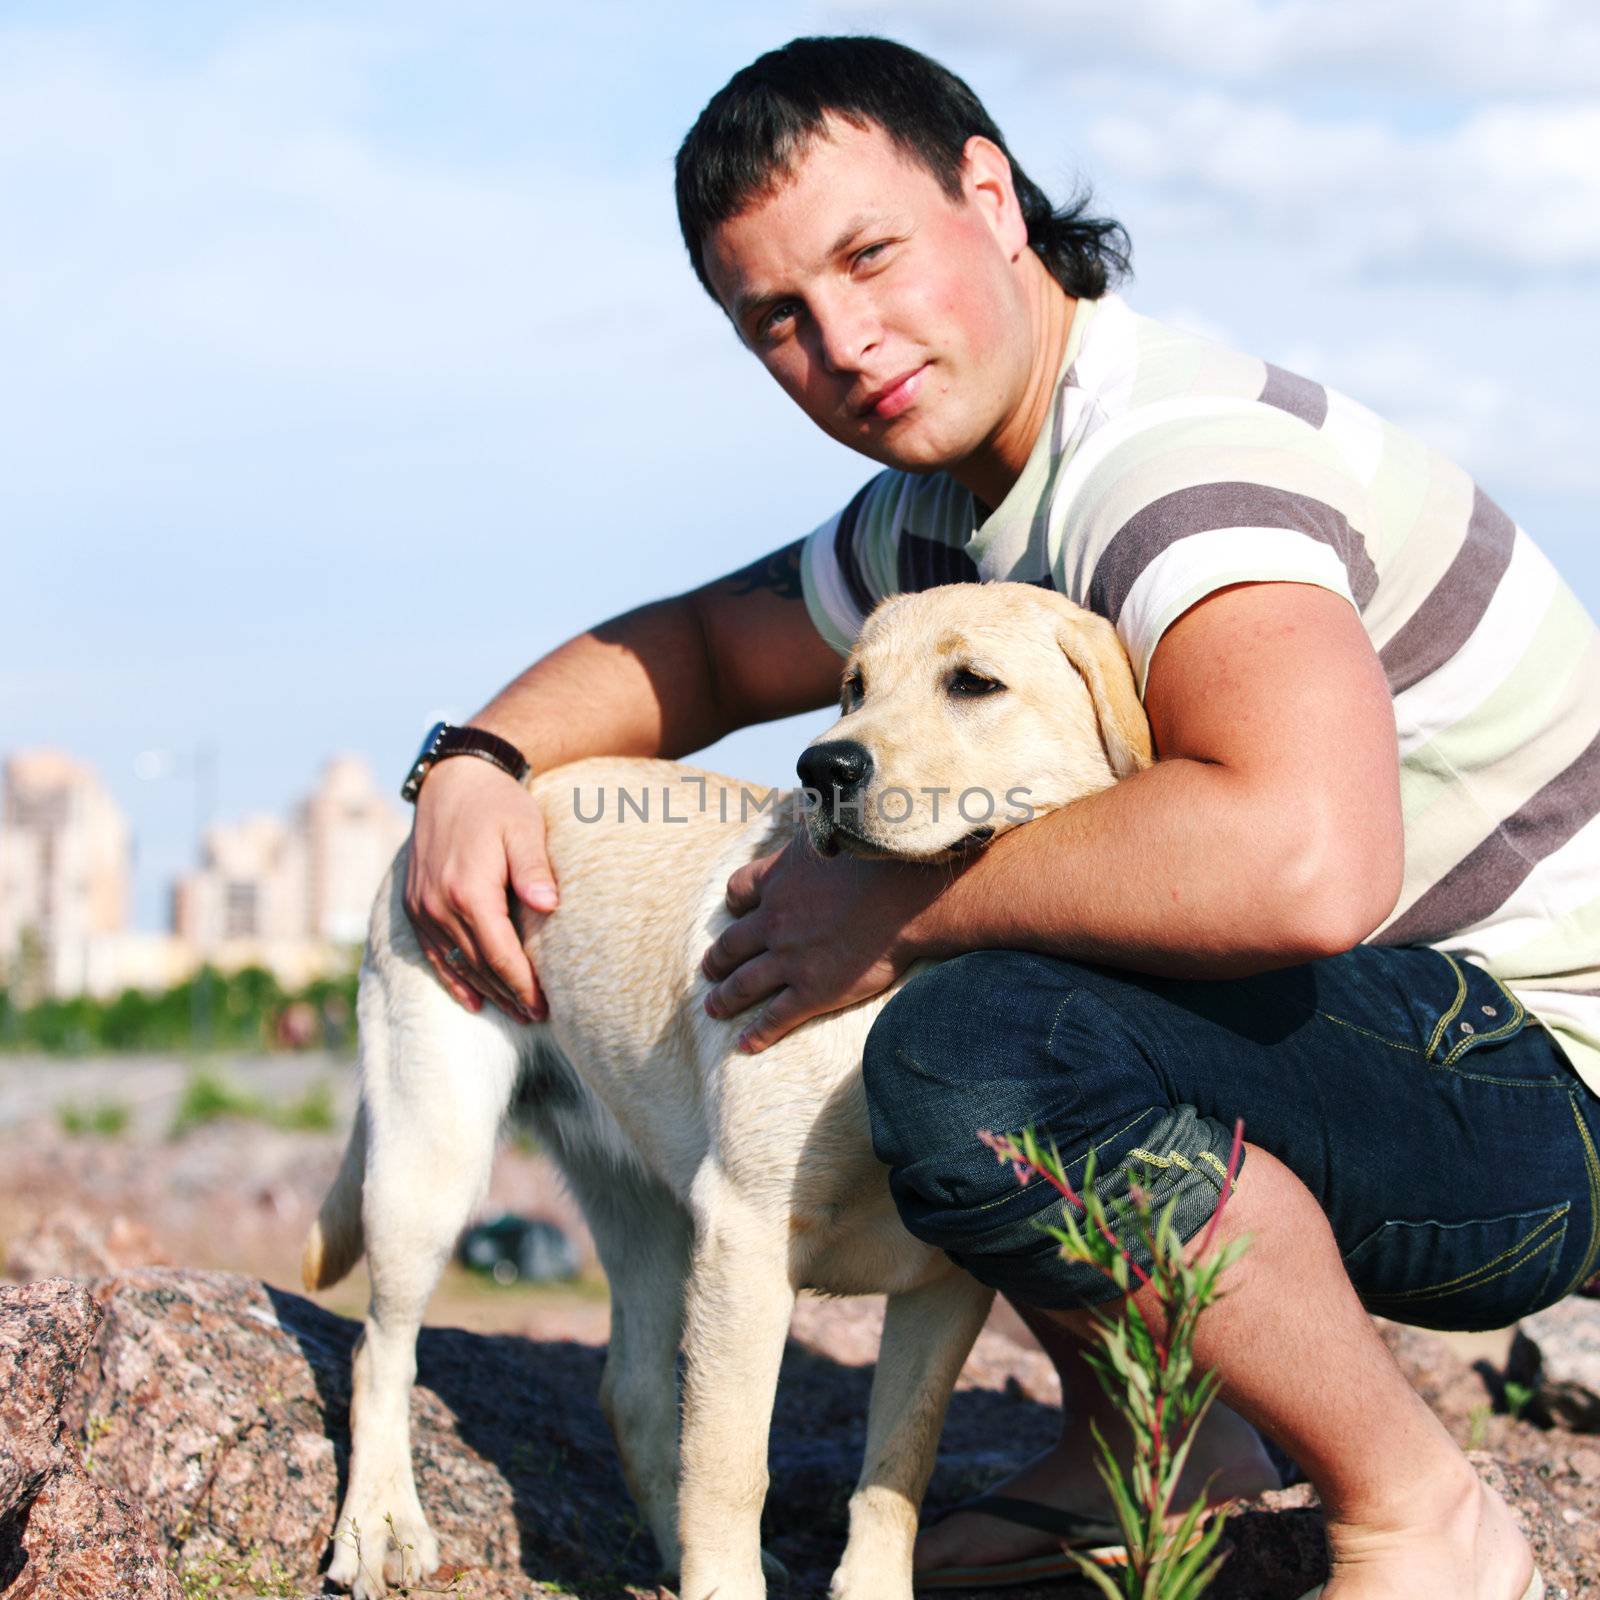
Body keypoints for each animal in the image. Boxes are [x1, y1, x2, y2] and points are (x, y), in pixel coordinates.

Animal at [300, 585, 1152, 1600]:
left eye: (974, 683)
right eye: (852, 687)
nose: (823, 765)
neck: (902, 970)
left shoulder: (945, 1281)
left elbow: (898, 1467)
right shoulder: (746, 1234)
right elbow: (732, 1462)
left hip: (648, 1211)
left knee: (630, 1388)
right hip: (431, 1161)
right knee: (379, 1351)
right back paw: (381, 1524)